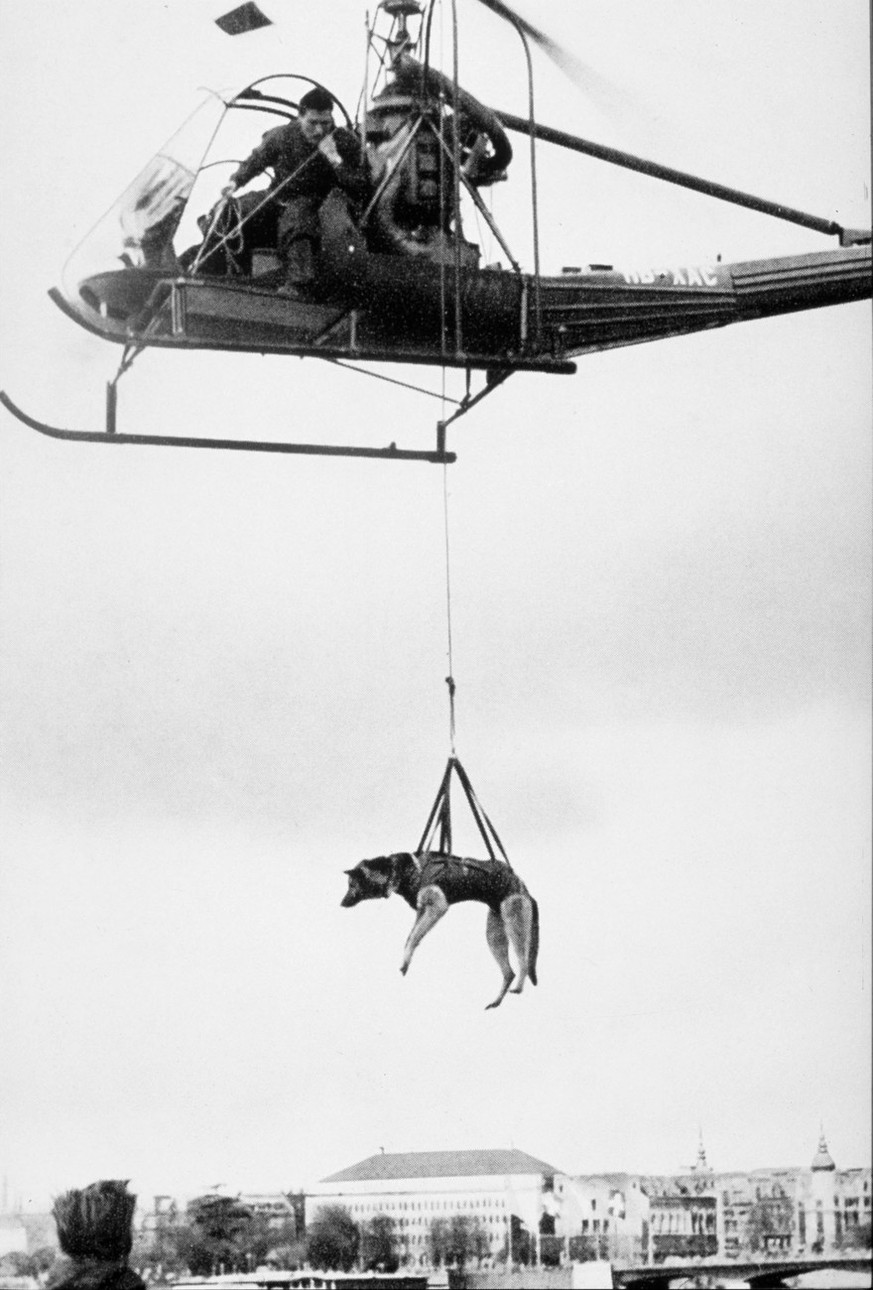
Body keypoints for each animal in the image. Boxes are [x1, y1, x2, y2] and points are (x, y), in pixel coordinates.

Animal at [340, 851, 539, 1011]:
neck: (403, 870)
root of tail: (525, 889)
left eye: (351, 884)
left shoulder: (437, 908)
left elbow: (413, 938)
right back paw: (496, 1001)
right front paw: (405, 961)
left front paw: (405, 963)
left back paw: (518, 987)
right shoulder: (422, 912)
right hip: (494, 936)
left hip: (514, 926)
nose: (341, 904)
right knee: (509, 972)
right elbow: (411, 937)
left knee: (523, 961)